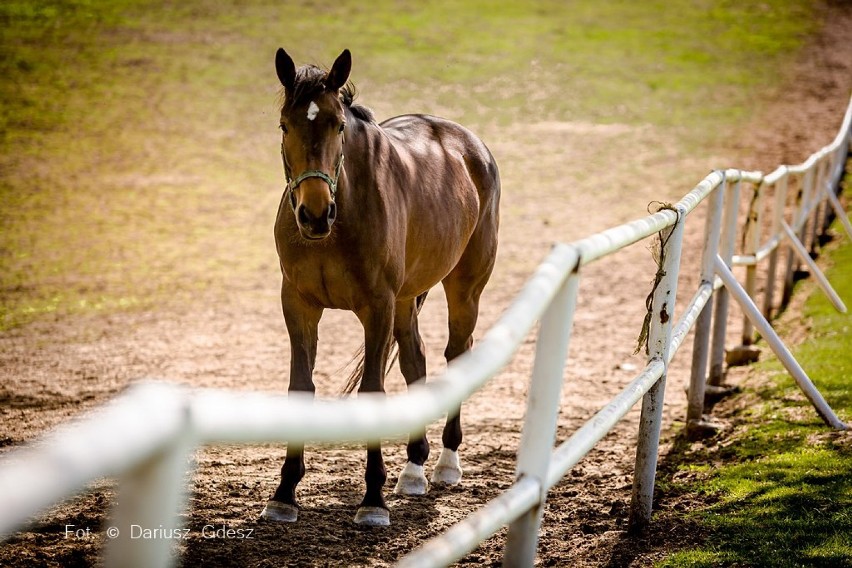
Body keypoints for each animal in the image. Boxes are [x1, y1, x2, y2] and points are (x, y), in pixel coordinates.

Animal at [260, 48, 500, 528]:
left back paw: (446, 463)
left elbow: (372, 391)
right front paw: (285, 493)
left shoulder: (377, 307)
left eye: (337, 124)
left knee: (457, 354)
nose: (315, 214)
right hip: (406, 300)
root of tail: (471, 145)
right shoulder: (297, 304)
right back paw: (413, 468)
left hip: (464, 288)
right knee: (416, 361)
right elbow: (301, 387)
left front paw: (372, 500)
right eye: (284, 124)